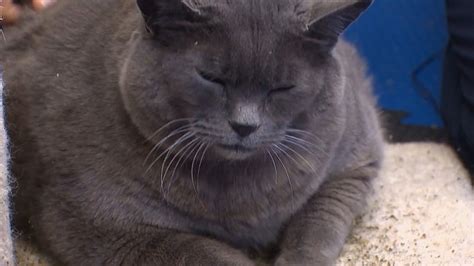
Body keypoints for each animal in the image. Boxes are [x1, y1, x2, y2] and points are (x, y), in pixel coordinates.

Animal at [0, 1, 386, 264]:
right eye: (210, 78)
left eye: (282, 88)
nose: (244, 125)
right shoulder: (100, 225)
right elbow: (204, 251)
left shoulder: (356, 164)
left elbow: (319, 224)